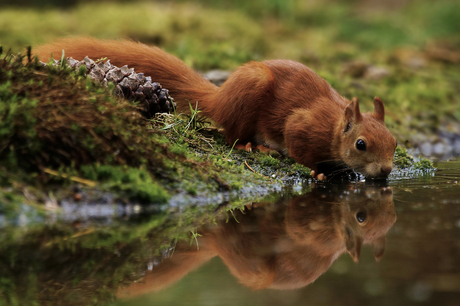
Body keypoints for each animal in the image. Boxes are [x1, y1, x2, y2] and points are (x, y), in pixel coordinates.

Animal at [35, 37, 396, 178]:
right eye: (360, 144)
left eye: (395, 142)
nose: (386, 171)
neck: (334, 125)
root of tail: (220, 98)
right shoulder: (302, 125)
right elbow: (298, 146)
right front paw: (320, 171)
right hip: (251, 92)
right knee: (232, 135)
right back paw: (254, 146)